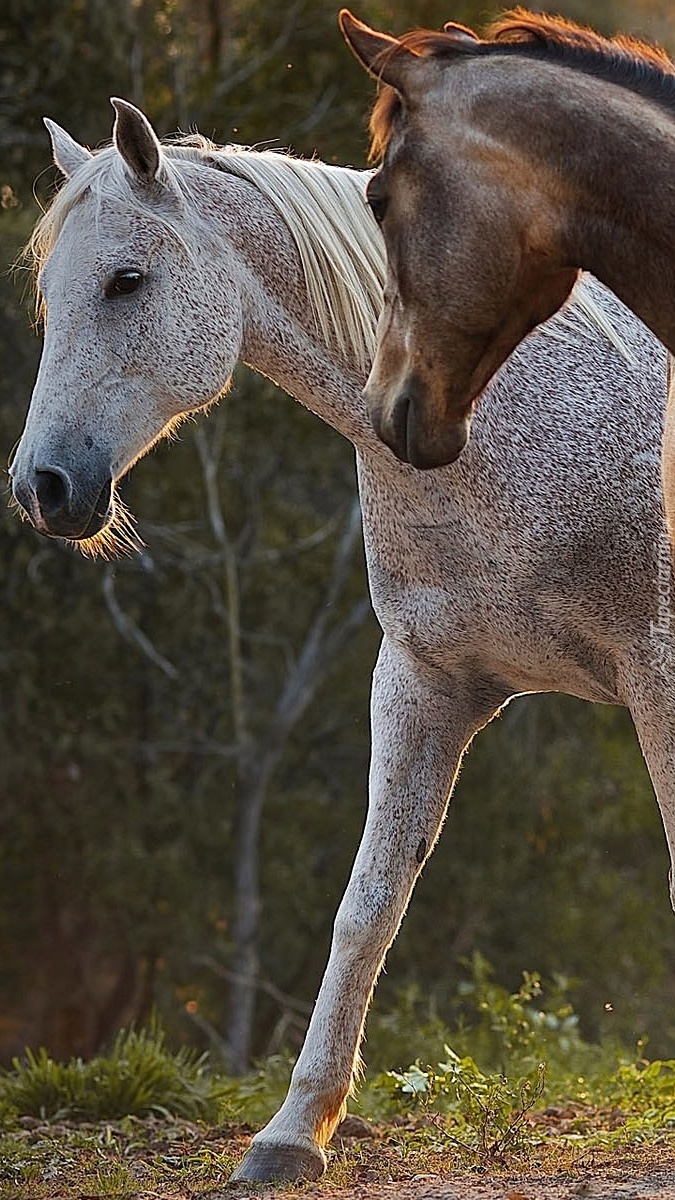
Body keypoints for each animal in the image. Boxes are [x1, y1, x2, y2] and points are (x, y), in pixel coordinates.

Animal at [10, 100, 672, 1180]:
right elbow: (367, 907)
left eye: (126, 279)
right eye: (49, 291)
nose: (43, 488)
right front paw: (292, 1131)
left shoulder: (655, 672)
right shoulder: (424, 682)